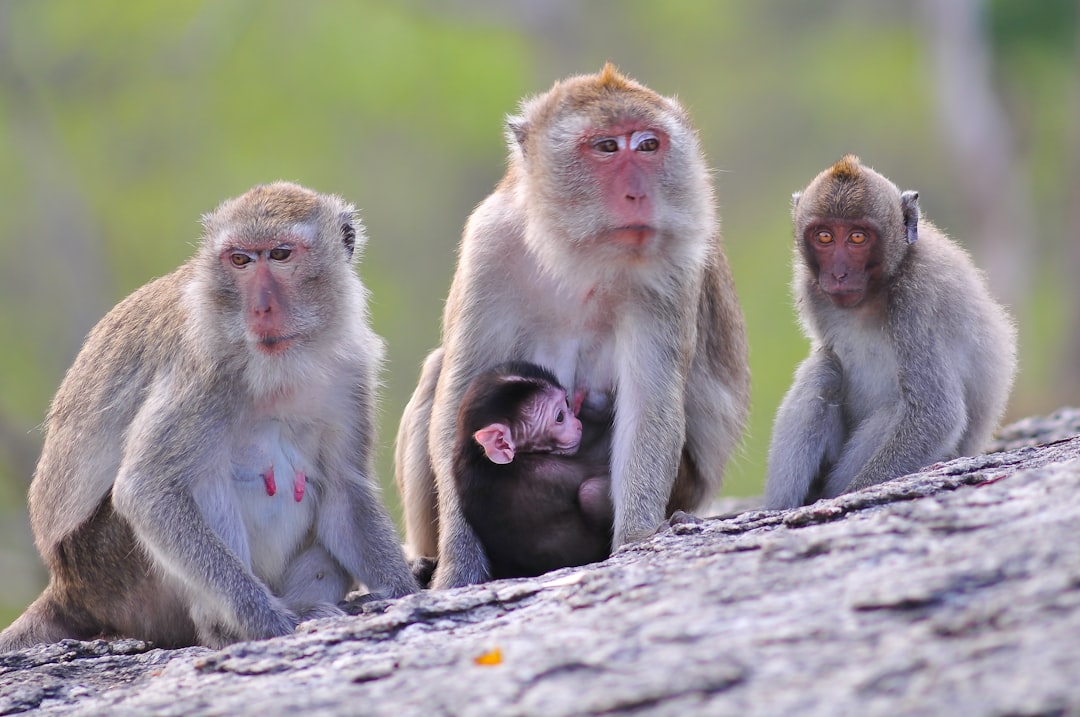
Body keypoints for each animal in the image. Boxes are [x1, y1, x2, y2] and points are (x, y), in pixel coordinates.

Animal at [0, 182, 416, 652]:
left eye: (280, 254)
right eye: (240, 260)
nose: (261, 308)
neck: (280, 364)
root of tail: (64, 587)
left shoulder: (351, 371)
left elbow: (345, 490)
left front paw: (402, 592)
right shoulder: (201, 371)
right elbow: (148, 490)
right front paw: (269, 622)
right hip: (112, 574)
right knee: (201, 477)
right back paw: (226, 630)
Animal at [451, 360, 613, 578]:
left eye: (567, 402)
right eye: (560, 417)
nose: (578, 425)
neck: (479, 458)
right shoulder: (550, 470)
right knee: (590, 492)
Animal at [764, 155, 1015, 509]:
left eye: (858, 238)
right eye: (824, 236)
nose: (838, 274)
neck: (877, 289)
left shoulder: (918, 297)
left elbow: (936, 412)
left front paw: (853, 494)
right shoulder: (811, 288)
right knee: (823, 370)